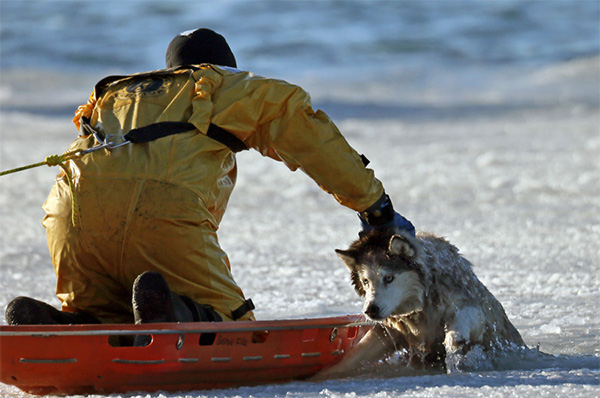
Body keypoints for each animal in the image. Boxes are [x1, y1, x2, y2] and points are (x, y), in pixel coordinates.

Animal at [322, 229, 524, 378]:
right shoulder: (390, 331)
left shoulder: (473, 307)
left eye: (389, 278)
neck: (421, 309)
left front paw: (454, 338)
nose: (370, 310)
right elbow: (352, 358)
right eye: (366, 281)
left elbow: (465, 317)